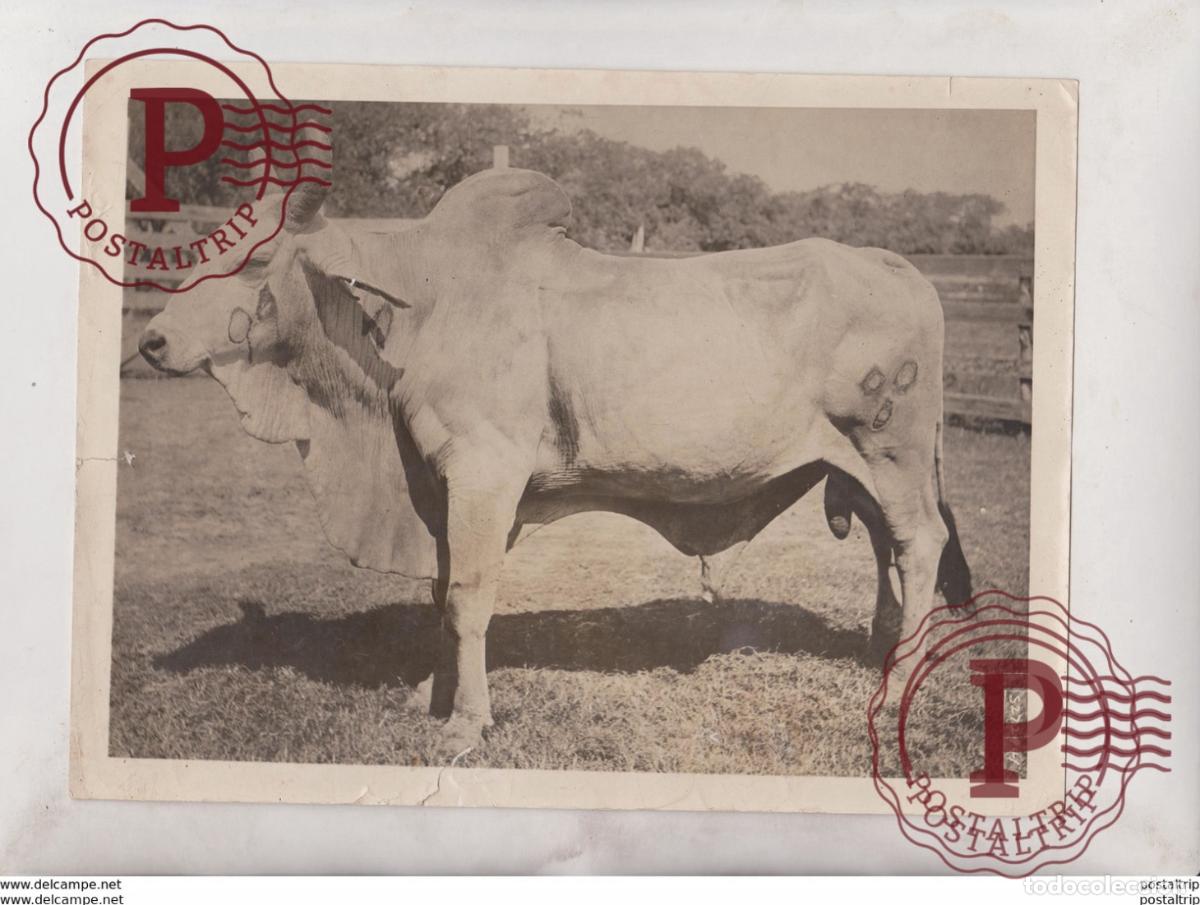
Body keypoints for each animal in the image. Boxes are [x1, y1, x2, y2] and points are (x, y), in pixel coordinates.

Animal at [139, 168, 972, 753]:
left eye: (255, 261)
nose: (151, 339)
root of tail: (898, 266)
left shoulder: (483, 470)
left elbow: (467, 596)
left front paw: (465, 722)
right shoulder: (438, 484)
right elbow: (442, 590)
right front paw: (429, 694)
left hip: (890, 449)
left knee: (919, 542)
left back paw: (901, 677)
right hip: (859, 465)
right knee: (888, 547)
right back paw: (883, 649)